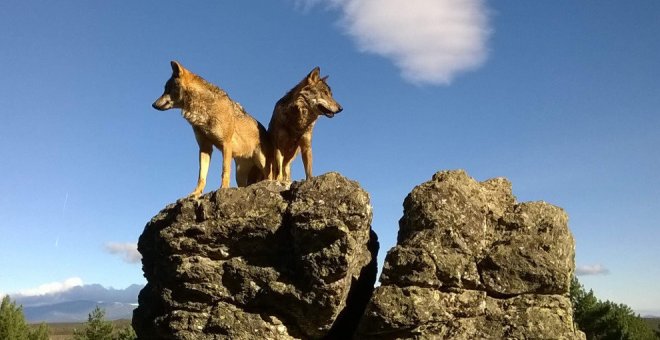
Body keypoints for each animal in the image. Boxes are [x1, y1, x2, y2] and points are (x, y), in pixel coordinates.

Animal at [152, 62, 270, 198]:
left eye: (167, 89)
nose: (153, 105)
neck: (203, 111)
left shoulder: (226, 144)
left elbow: (224, 170)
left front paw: (223, 188)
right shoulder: (205, 147)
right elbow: (201, 176)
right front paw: (195, 194)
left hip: (262, 163)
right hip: (240, 175)